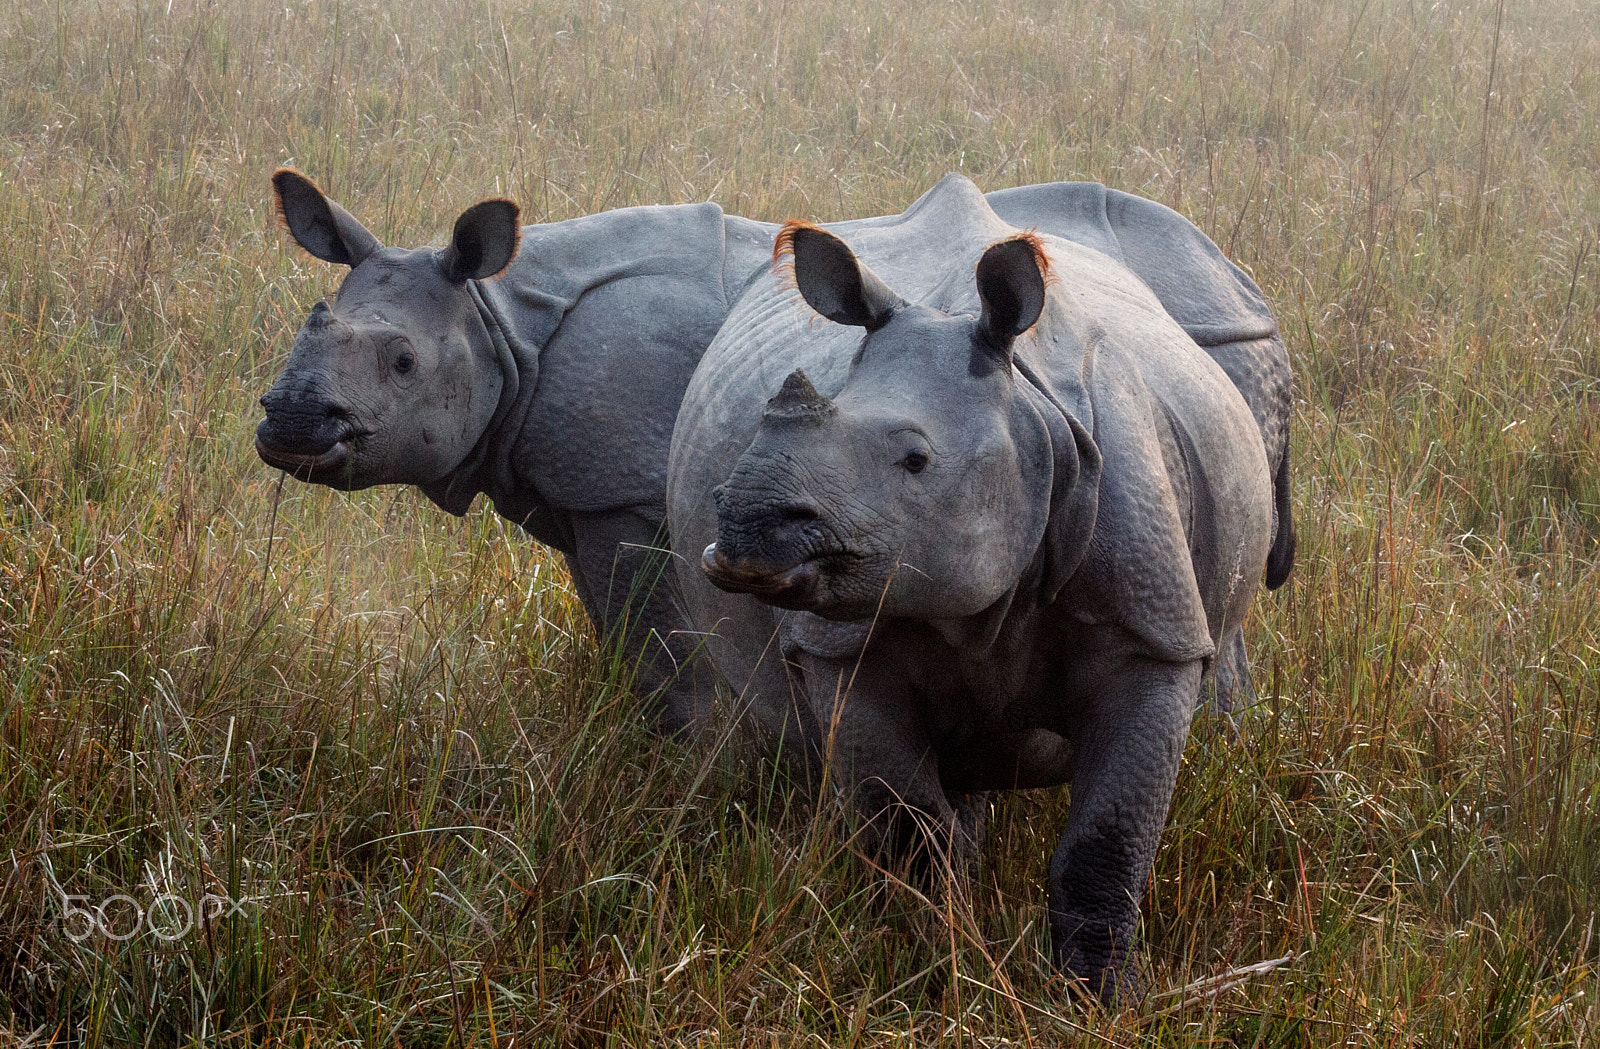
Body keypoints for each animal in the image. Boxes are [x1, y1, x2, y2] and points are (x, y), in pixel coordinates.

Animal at [668, 175, 1293, 999]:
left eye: (916, 459)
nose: (746, 523)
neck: (1028, 417)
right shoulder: (842, 643)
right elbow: (912, 826)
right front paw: (932, 965)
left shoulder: (1152, 630)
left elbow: (1109, 835)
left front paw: (1104, 999)